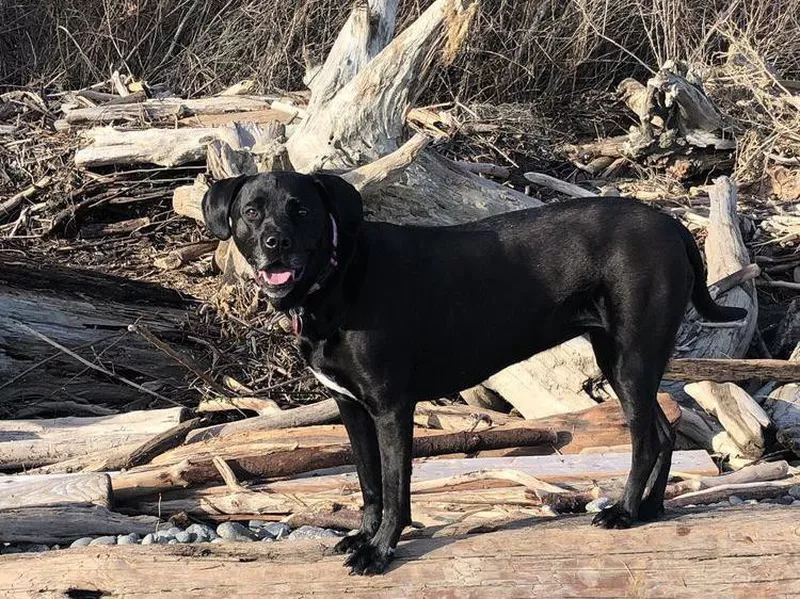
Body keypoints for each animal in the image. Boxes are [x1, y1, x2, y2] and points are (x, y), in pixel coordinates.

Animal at [203, 171, 748, 576]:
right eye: (251, 211)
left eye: (302, 210)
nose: (276, 243)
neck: (337, 279)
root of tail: (673, 225)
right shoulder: (351, 407)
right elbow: (369, 484)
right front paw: (362, 536)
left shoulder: (390, 407)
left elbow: (396, 486)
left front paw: (380, 551)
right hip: (622, 361)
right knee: (664, 430)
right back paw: (651, 508)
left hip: (629, 358)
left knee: (646, 438)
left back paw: (624, 511)